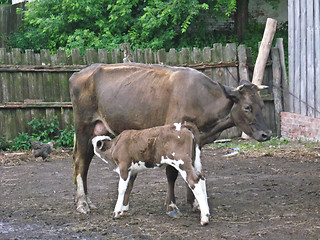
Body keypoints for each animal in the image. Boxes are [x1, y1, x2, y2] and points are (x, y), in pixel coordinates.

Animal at [69, 62, 272, 215]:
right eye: (247, 107)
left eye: (262, 104)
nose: (267, 134)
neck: (200, 98)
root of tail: (79, 73)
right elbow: (172, 173)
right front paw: (172, 205)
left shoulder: (196, 141)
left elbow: (193, 169)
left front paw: (195, 203)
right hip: (83, 126)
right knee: (80, 161)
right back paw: (82, 204)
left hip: (96, 129)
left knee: (86, 161)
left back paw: (88, 201)